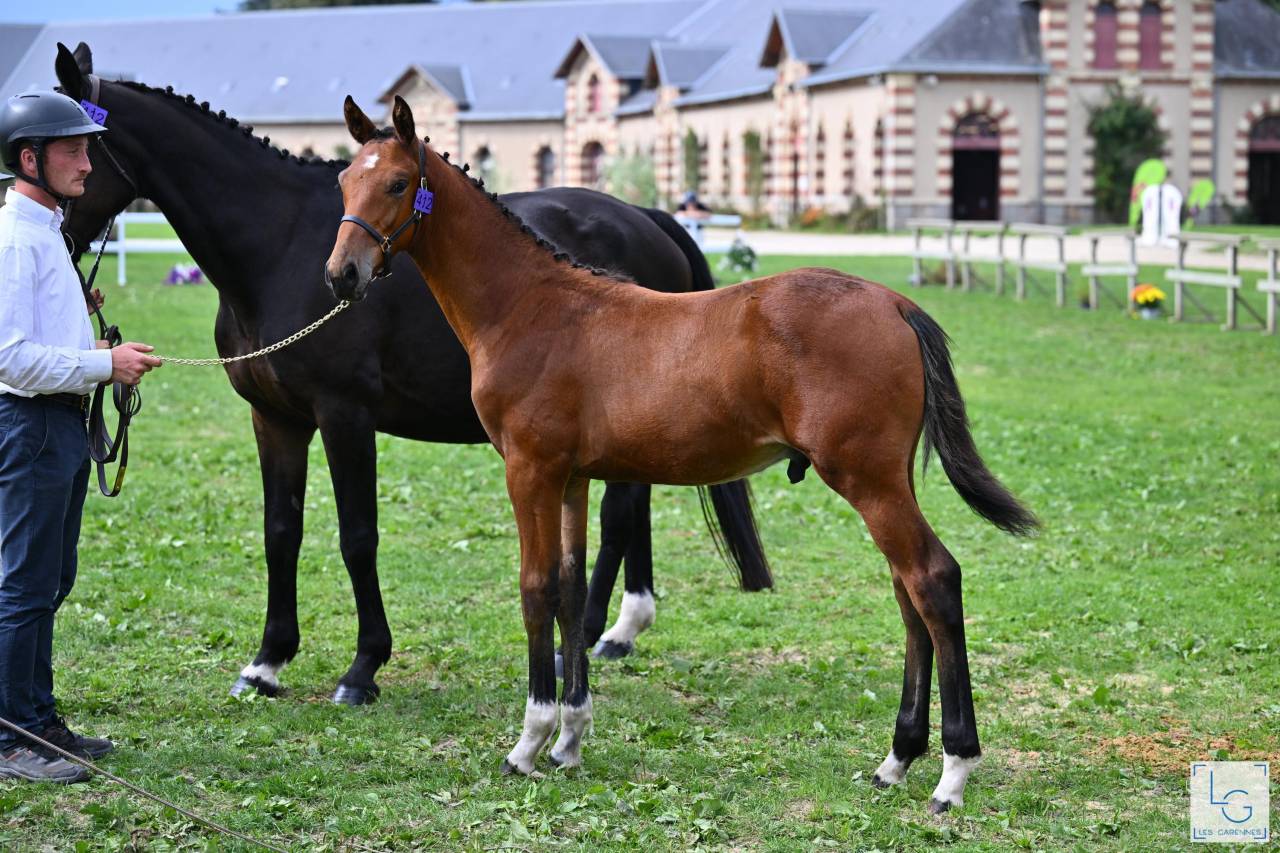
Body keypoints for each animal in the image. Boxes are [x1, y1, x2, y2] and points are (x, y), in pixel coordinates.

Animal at [53, 42, 772, 706]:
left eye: (72, 148)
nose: (52, 236)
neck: (278, 245)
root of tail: (647, 218)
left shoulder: (344, 415)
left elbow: (357, 536)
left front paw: (363, 666)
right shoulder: (276, 419)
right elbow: (281, 532)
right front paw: (267, 662)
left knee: (620, 512)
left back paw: (592, 633)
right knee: (632, 505)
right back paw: (618, 629)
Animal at [326, 95, 1039, 813]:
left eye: (396, 183)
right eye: (343, 181)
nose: (341, 274)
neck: (530, 307)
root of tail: (896, 304)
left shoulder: (529, 470)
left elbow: (536, 589)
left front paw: (528, 742)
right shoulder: (572, 478)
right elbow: (570, 587)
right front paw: (570, 738)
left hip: (867, 478)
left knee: (932, 579)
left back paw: (952, 770)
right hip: (886, 481)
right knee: (907, 591)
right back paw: (897, 758)